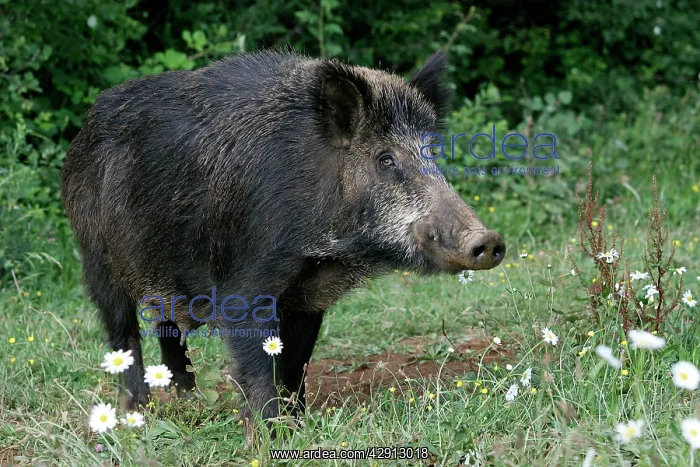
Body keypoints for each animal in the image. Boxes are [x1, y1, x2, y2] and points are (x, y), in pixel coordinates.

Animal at [61, 49, 505, 424]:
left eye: (433, 153)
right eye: (385, 159)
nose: (488, 240)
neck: (325, 249)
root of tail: (83, 132)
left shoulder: (310, 296)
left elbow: (295, 364)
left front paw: (299, 422)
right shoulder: (243, 286)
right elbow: (258, 367)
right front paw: (268, 431)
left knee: (167, 326)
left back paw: (190, 401)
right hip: (96, 256)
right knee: (122, 331)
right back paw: (135, 413)